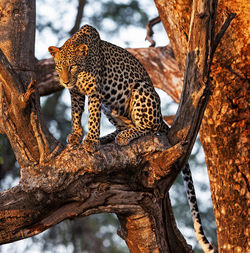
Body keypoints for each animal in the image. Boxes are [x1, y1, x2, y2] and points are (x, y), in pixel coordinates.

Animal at [48, 24, 217, 253]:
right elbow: (76, 113)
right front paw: (76, 135)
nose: (65, 81)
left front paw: (91, 140)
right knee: (128, 125)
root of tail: (161, 116)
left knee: (148, 127)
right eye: (58, 67)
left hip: (139, 89)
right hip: (112, 107)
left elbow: (92, 117)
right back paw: (109, 137)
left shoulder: (95, 92)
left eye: (73, 66)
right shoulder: (75, 93)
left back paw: (123, 137)